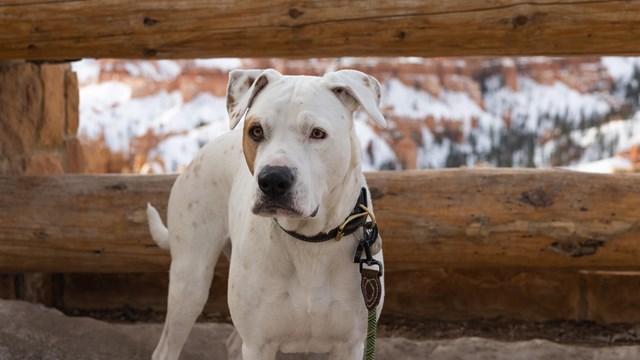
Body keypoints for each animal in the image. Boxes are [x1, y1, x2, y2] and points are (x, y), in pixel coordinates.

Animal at [148, 69, 384, 358]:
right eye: (256, 130)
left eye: (317, 133)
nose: (273, 179)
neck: (309, 241)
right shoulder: (258, 344)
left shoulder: (349, 345)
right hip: (190, 282)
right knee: (167, 346)